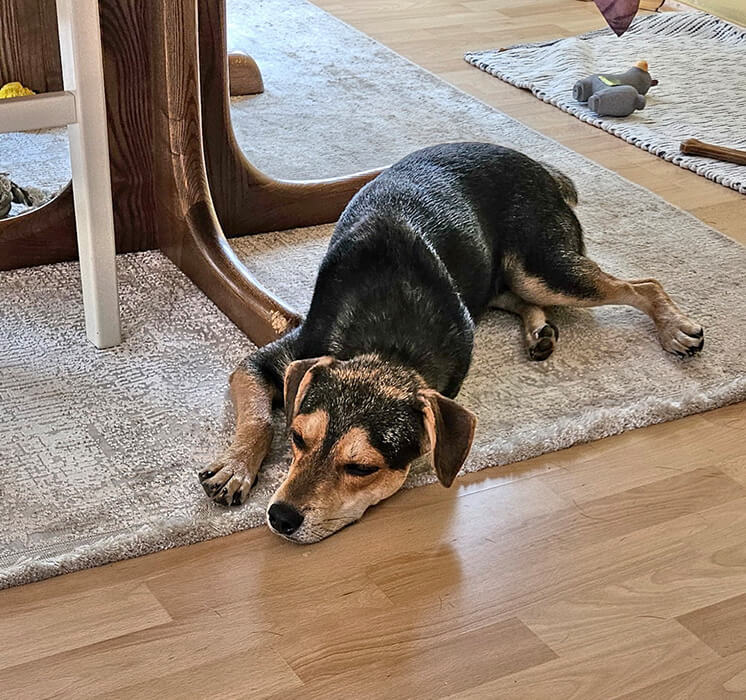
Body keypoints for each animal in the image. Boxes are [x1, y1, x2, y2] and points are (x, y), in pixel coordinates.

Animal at [199, 142, 704, 543]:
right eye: (299, 439)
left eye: (362, 469)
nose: (280, 517)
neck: (387, 344)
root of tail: (533, 162)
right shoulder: (273, 358)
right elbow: (259, 418)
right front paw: (235, 468)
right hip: (509, 276)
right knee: (516, 295)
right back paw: (540, 332)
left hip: (542, 265)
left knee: (642, 284)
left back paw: (676, 329)